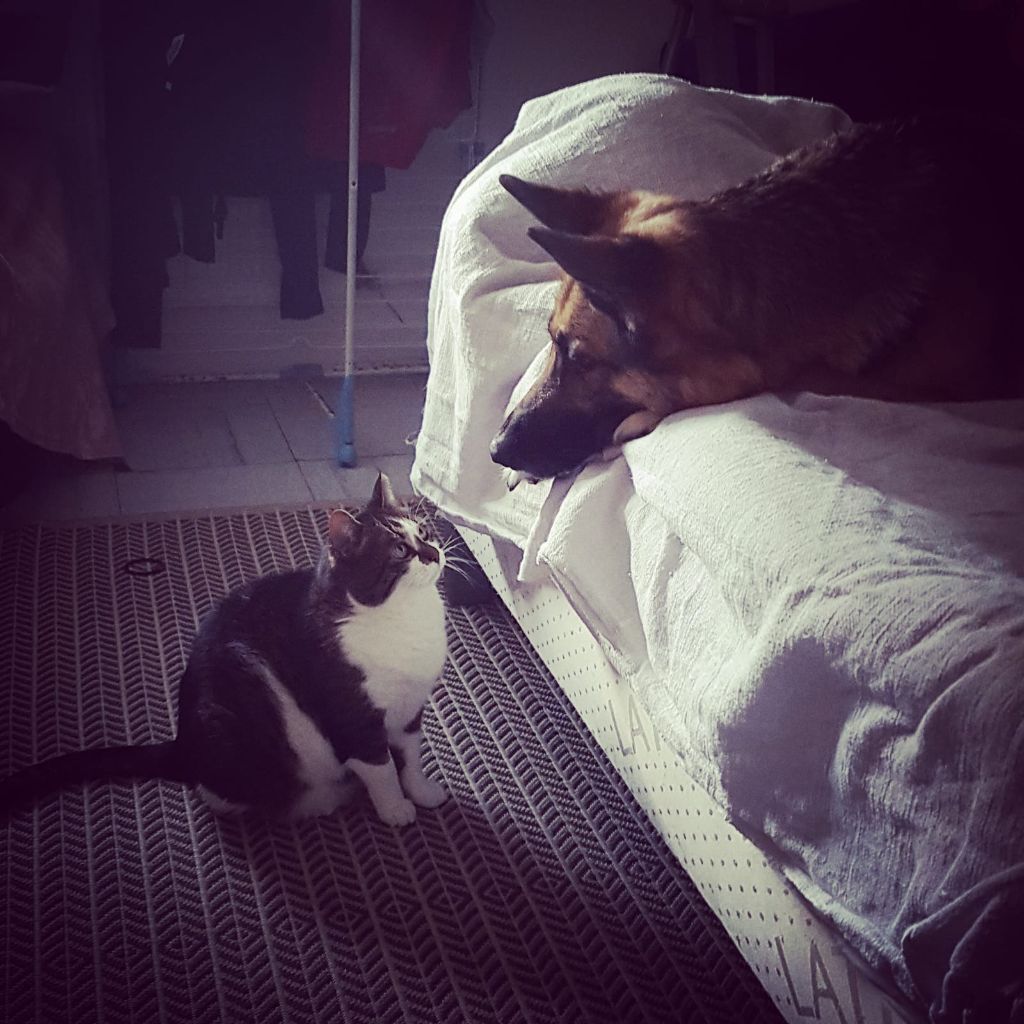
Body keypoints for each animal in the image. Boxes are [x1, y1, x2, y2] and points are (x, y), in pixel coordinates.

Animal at [0, 473, 450, 827]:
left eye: (425, 533)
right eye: (400, 551)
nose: (434, 553)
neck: (408, 621)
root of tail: (182, 743)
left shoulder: (410, 707)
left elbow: (410, 755)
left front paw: (422, 793)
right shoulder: (350, 714)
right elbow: (381, 767)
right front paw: (395, 810)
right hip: (238, 718)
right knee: (225, 794)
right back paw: (320, 800)